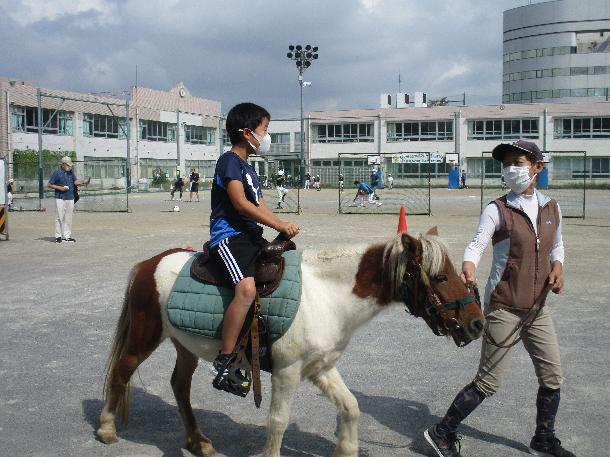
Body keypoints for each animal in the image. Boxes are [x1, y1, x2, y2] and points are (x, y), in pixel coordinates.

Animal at [97, 226, 482, 454]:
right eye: (441, 276)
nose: (476, 324)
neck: (325, 293)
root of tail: (149, 263)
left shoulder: (320, 368)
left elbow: (351, 407)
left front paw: (346, 448)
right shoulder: (287, 372)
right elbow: (278, 422)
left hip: (185, 346)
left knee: (179, 385)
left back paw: (198, 440)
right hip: (145, 336)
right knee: (121, 372)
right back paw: (106, 428)